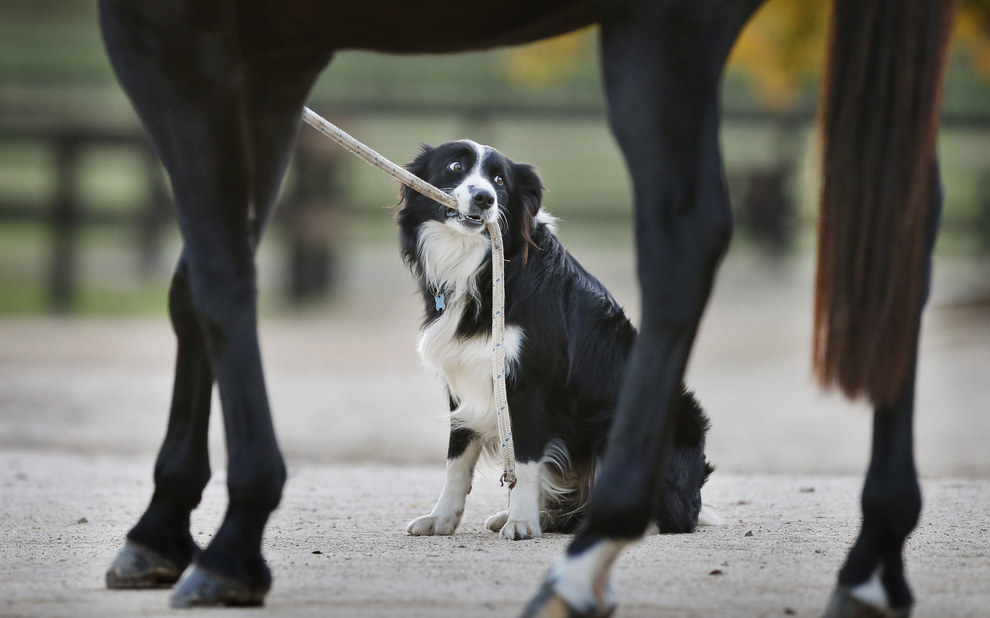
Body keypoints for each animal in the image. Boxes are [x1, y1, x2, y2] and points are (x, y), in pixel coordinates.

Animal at [396, 141, 712, 540]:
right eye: (455, 166)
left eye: (499, 180)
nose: (484, 198)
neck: (482, 265)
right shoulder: (463, 378)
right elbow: (457, 459)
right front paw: (441, 519)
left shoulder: (530, 386)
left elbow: (525, 463)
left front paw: (521, 523)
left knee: (665, 516)